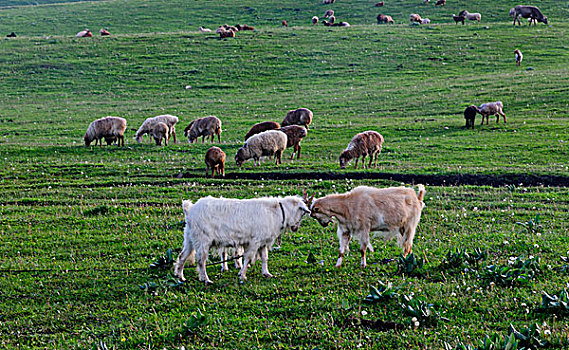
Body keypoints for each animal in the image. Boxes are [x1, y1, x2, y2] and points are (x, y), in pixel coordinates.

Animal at [175, 196, 310, 284]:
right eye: (302, 213)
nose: (296, 228)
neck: (278, 211)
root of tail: (189, 210)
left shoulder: (262, 242)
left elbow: (264, 257)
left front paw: (266, 273)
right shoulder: (255, 241)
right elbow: (248, 258)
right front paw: (242, 276)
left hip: (190, 238)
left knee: (182, 256)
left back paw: (180, 277)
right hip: (203, 239)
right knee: (201, 260)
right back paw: (206, 279)